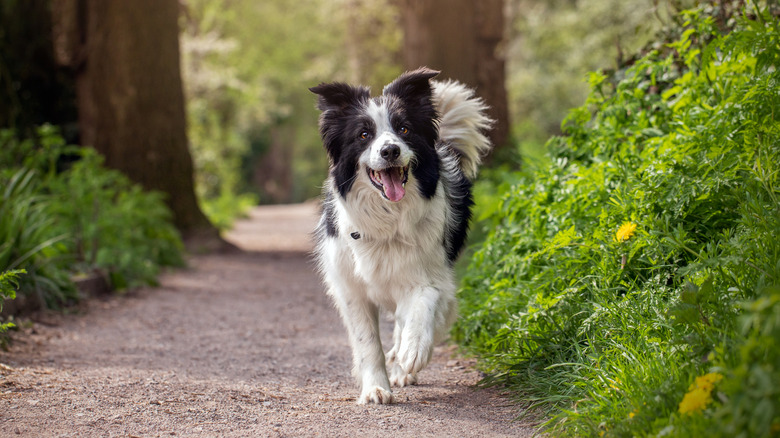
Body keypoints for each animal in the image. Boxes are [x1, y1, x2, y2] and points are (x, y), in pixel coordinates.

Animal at [310, 66, 488, 404]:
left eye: (404, 129)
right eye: (363, 135)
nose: (390, 150)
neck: (388, 218)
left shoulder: (431, 275)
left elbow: (422, 305)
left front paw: (413, 351)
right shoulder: (350, 288)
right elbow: (368, 343)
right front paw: (375, 388)